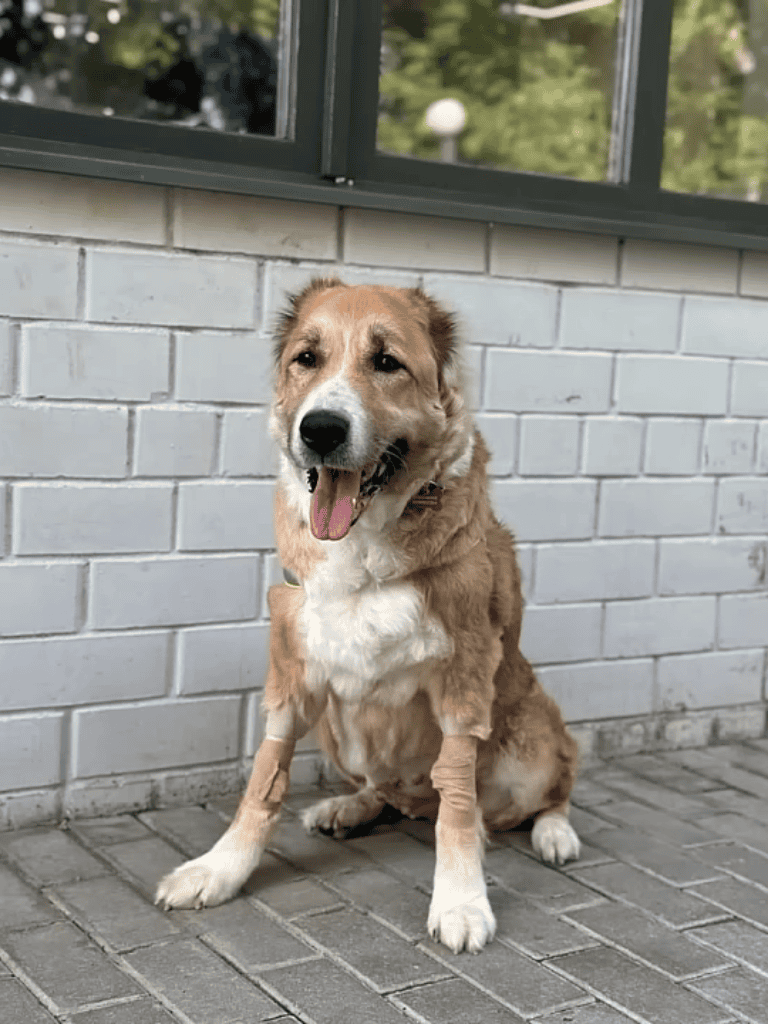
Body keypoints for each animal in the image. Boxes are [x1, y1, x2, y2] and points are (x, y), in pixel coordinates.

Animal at [156, 278, 580, 953]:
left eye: (387, 363)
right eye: (307, 358)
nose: (321, 430)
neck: (365, 539)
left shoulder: (465, 679)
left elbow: (459, 798)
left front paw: (461, 899)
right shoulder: (293, 673)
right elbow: (264, 779)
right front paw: (220, 870)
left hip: (532, 741)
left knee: (549, 785)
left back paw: (554, 832)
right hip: (340, 728)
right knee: (385, 789)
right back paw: (347, 808)